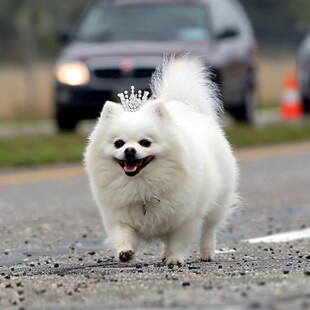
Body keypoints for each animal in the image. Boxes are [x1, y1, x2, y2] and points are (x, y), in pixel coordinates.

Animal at [83, 57, 239, 266]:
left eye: (145, 142)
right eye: (118, 143)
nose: (129, 150)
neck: (140, 184)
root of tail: (185, 106)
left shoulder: (185, 218)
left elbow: (179, 241)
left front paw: (175, 259)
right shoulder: (118, 217)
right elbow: (123, 234)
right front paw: (125, 252)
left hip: (217, 205)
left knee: (208, 229)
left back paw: (206, 253)